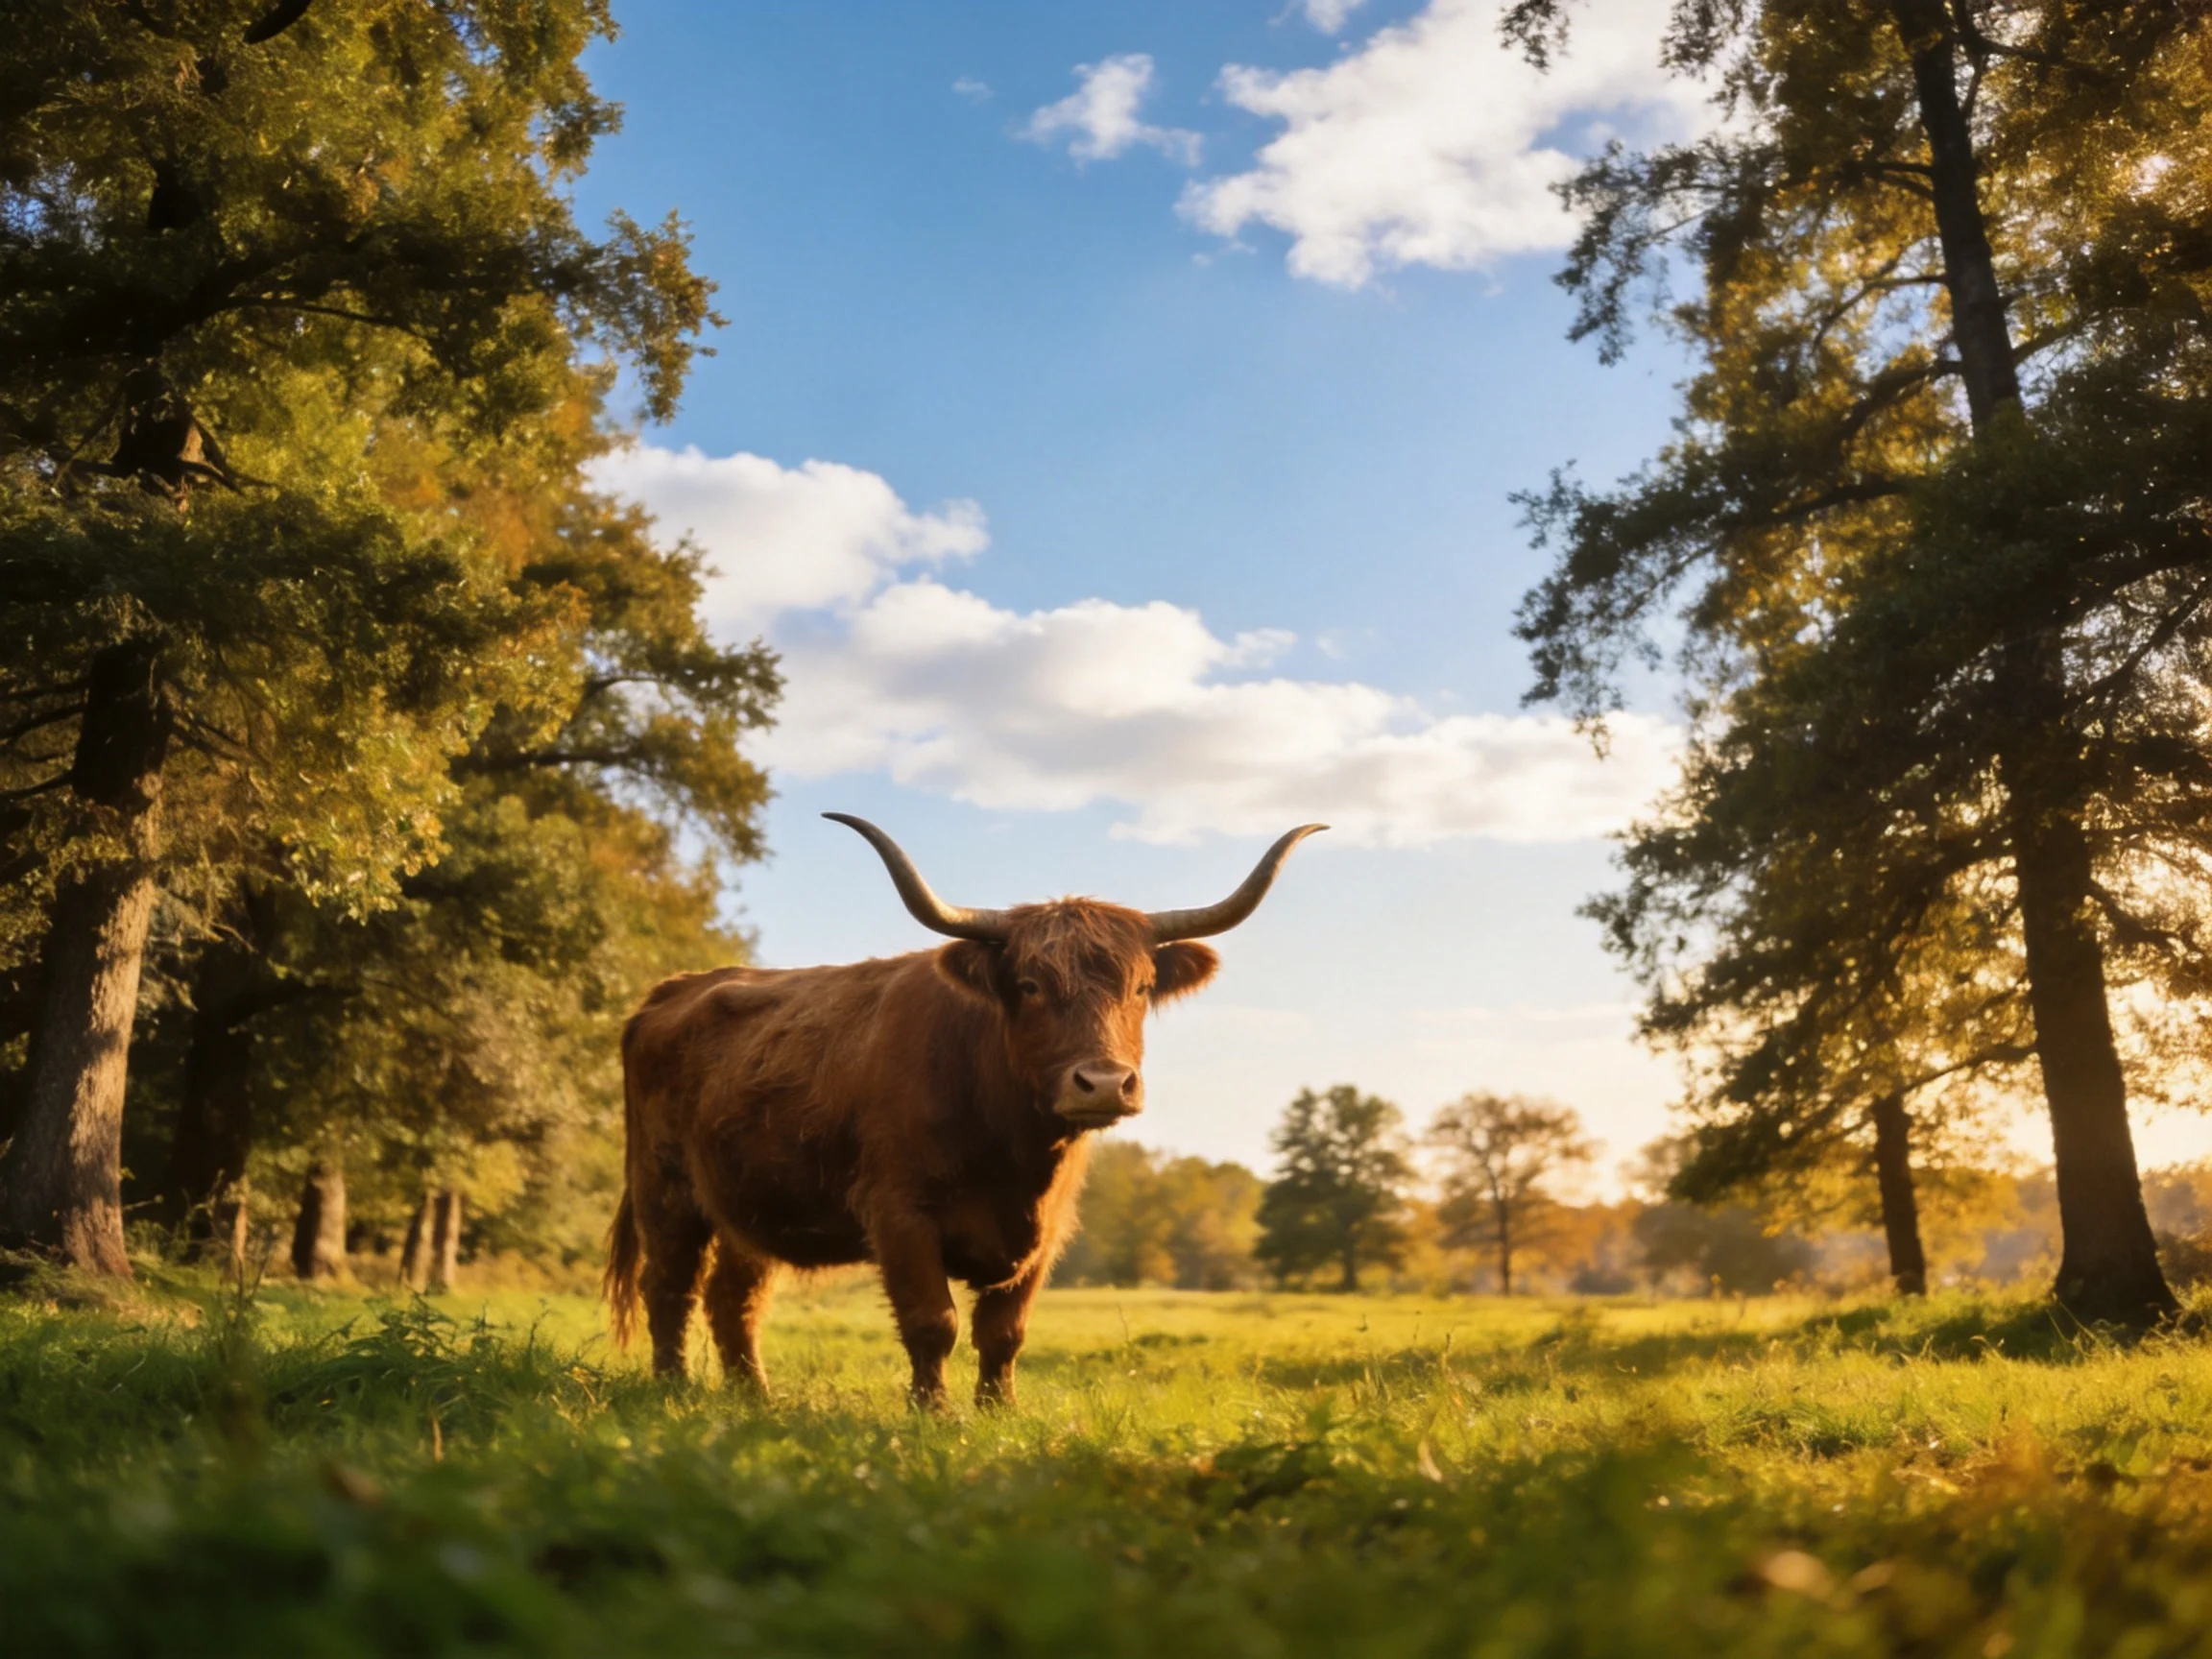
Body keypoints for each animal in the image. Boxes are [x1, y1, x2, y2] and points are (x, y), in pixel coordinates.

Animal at [605, 813, 1323, 1407]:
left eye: (1143, 987)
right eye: (1029, 986)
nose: (1103, 1084)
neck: (1015, 1155)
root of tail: (676, 988)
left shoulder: (1046, 1234)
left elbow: (1005, 1331)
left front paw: (999, 1411)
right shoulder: (899, 1213)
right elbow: (934, 1322)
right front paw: (935, 1413)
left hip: (747, 1207)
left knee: (734, 1299)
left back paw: (754, 1395)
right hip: (665, 1190)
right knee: (668, 1286)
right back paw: (671, 1388)